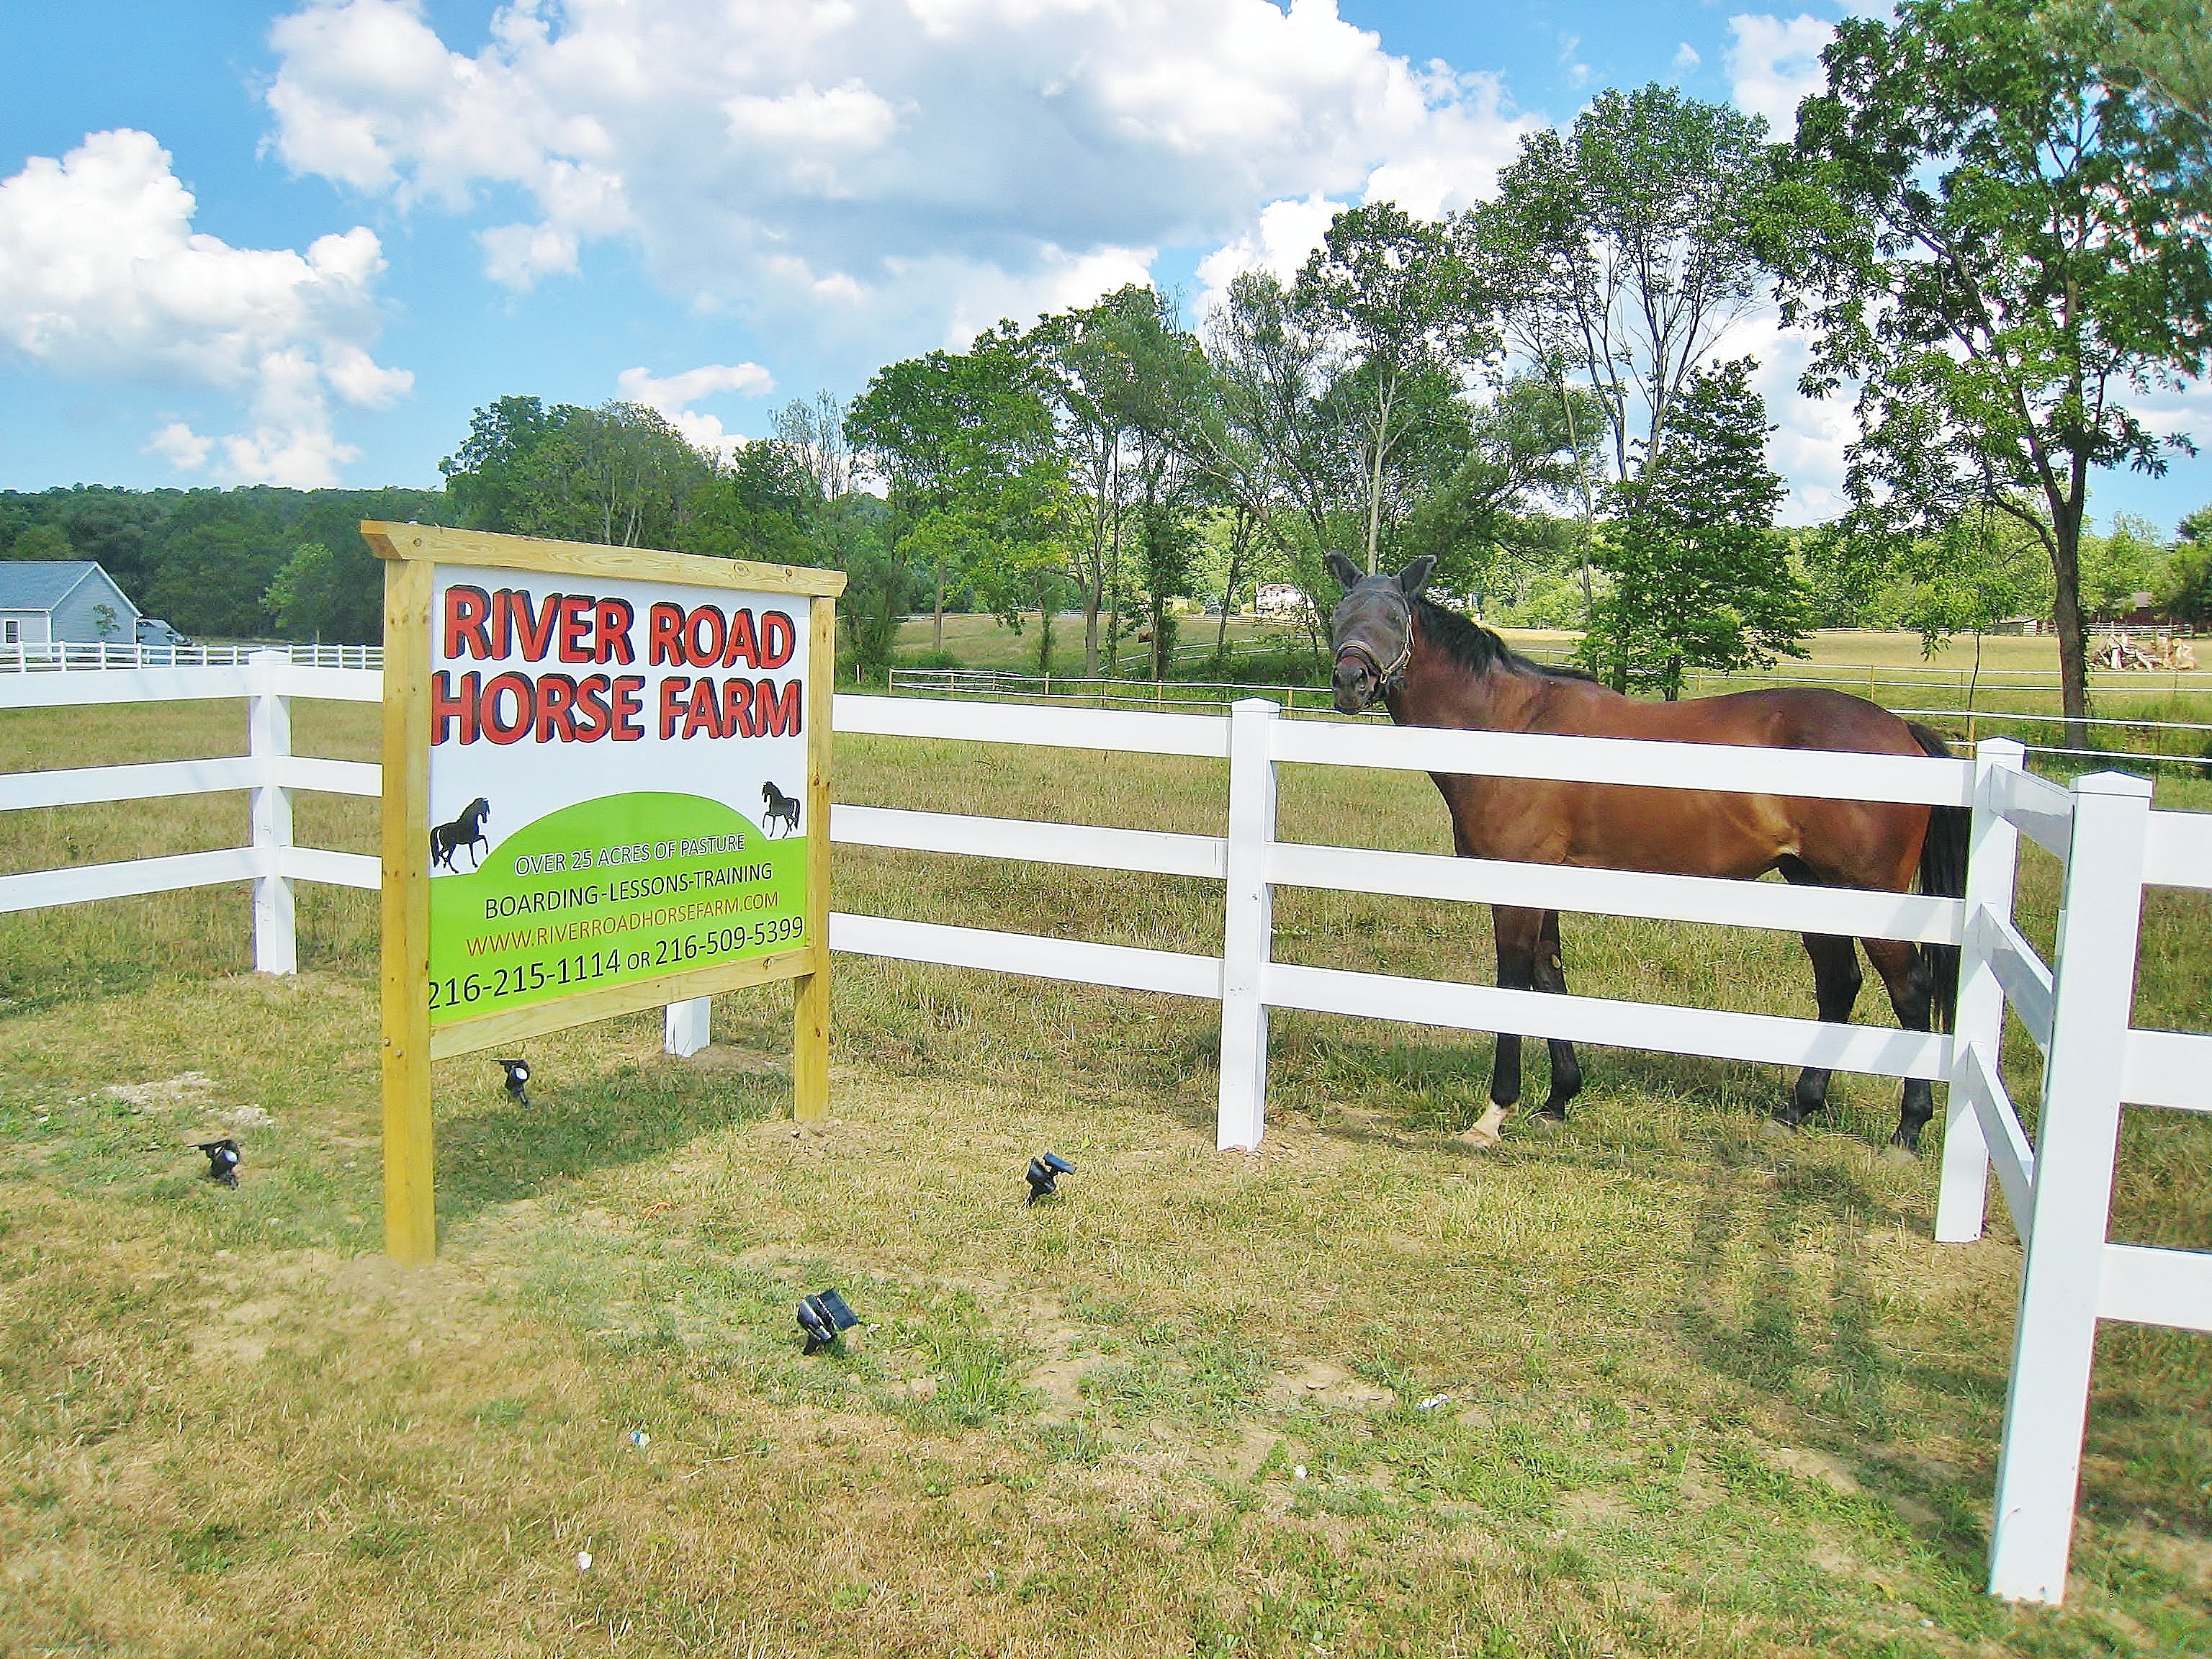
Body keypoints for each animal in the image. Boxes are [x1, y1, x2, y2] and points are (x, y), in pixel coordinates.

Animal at [1324, 553, 1968, 1154]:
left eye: (1394, 617)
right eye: (1339, 613)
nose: (1350, 680)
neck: (1513, 726)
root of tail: (1902, 732)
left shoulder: (1515, 887)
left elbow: (1513, 984)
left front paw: (1495, 1113)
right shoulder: (1544, 883)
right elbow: (1549, 980)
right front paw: (1558, 1100)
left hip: (1868, 891)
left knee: (1910, 990)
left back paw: (1908, 1130)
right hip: (1812, 884)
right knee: (1838, 984)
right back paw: (1797, 1109)